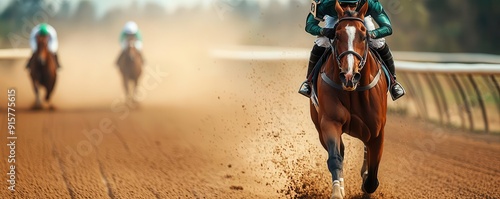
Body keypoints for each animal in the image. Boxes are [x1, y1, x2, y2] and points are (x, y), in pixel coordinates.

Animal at [310, 1, 388, 197]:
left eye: (363, 36)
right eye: (337, 36)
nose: (349, 76)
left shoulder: (377, 132)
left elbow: (372, 177)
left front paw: (366, 182)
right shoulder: (329, 122)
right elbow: (335, 157)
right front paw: (338, 191)